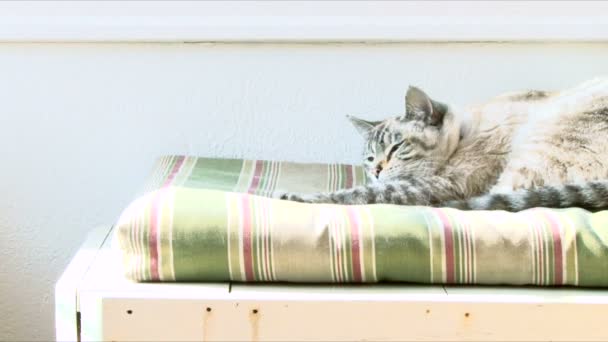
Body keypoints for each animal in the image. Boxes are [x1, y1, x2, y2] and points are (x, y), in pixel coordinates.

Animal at [280, 78, 608, 211]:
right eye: (370, 159)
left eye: (396, 148)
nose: (376, 171)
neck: (461, 136)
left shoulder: (446, 184)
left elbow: (356, 194)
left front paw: (291, 197)